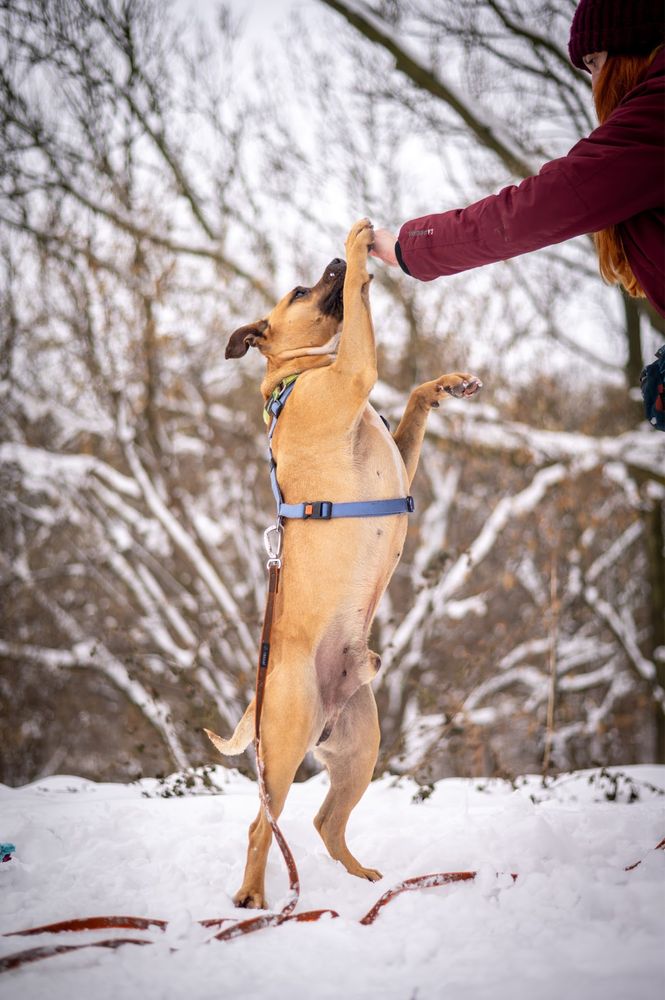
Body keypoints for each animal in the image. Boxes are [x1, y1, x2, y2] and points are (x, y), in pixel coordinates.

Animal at [205, 221, 480, 916]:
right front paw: (360, 250)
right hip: (287, 741)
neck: (301, 374)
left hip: (360, 747)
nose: (329, 258)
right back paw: (253, 896)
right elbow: (361, 314)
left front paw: (447, 385)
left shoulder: (391, 437)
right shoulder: (356, 371)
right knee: (262, 824)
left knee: (324, 822)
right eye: (301, 291)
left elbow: (411, 402)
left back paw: (362, 882)